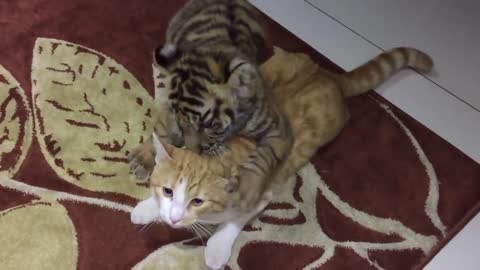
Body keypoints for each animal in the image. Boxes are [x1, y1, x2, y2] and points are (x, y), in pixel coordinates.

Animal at [130, 47, 432, 270]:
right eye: (168, 191)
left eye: (198, 201)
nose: (174, 219)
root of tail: (327, 74)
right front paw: (149, 208)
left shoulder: (261, 194)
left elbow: (233, 223)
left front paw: (216, 249)